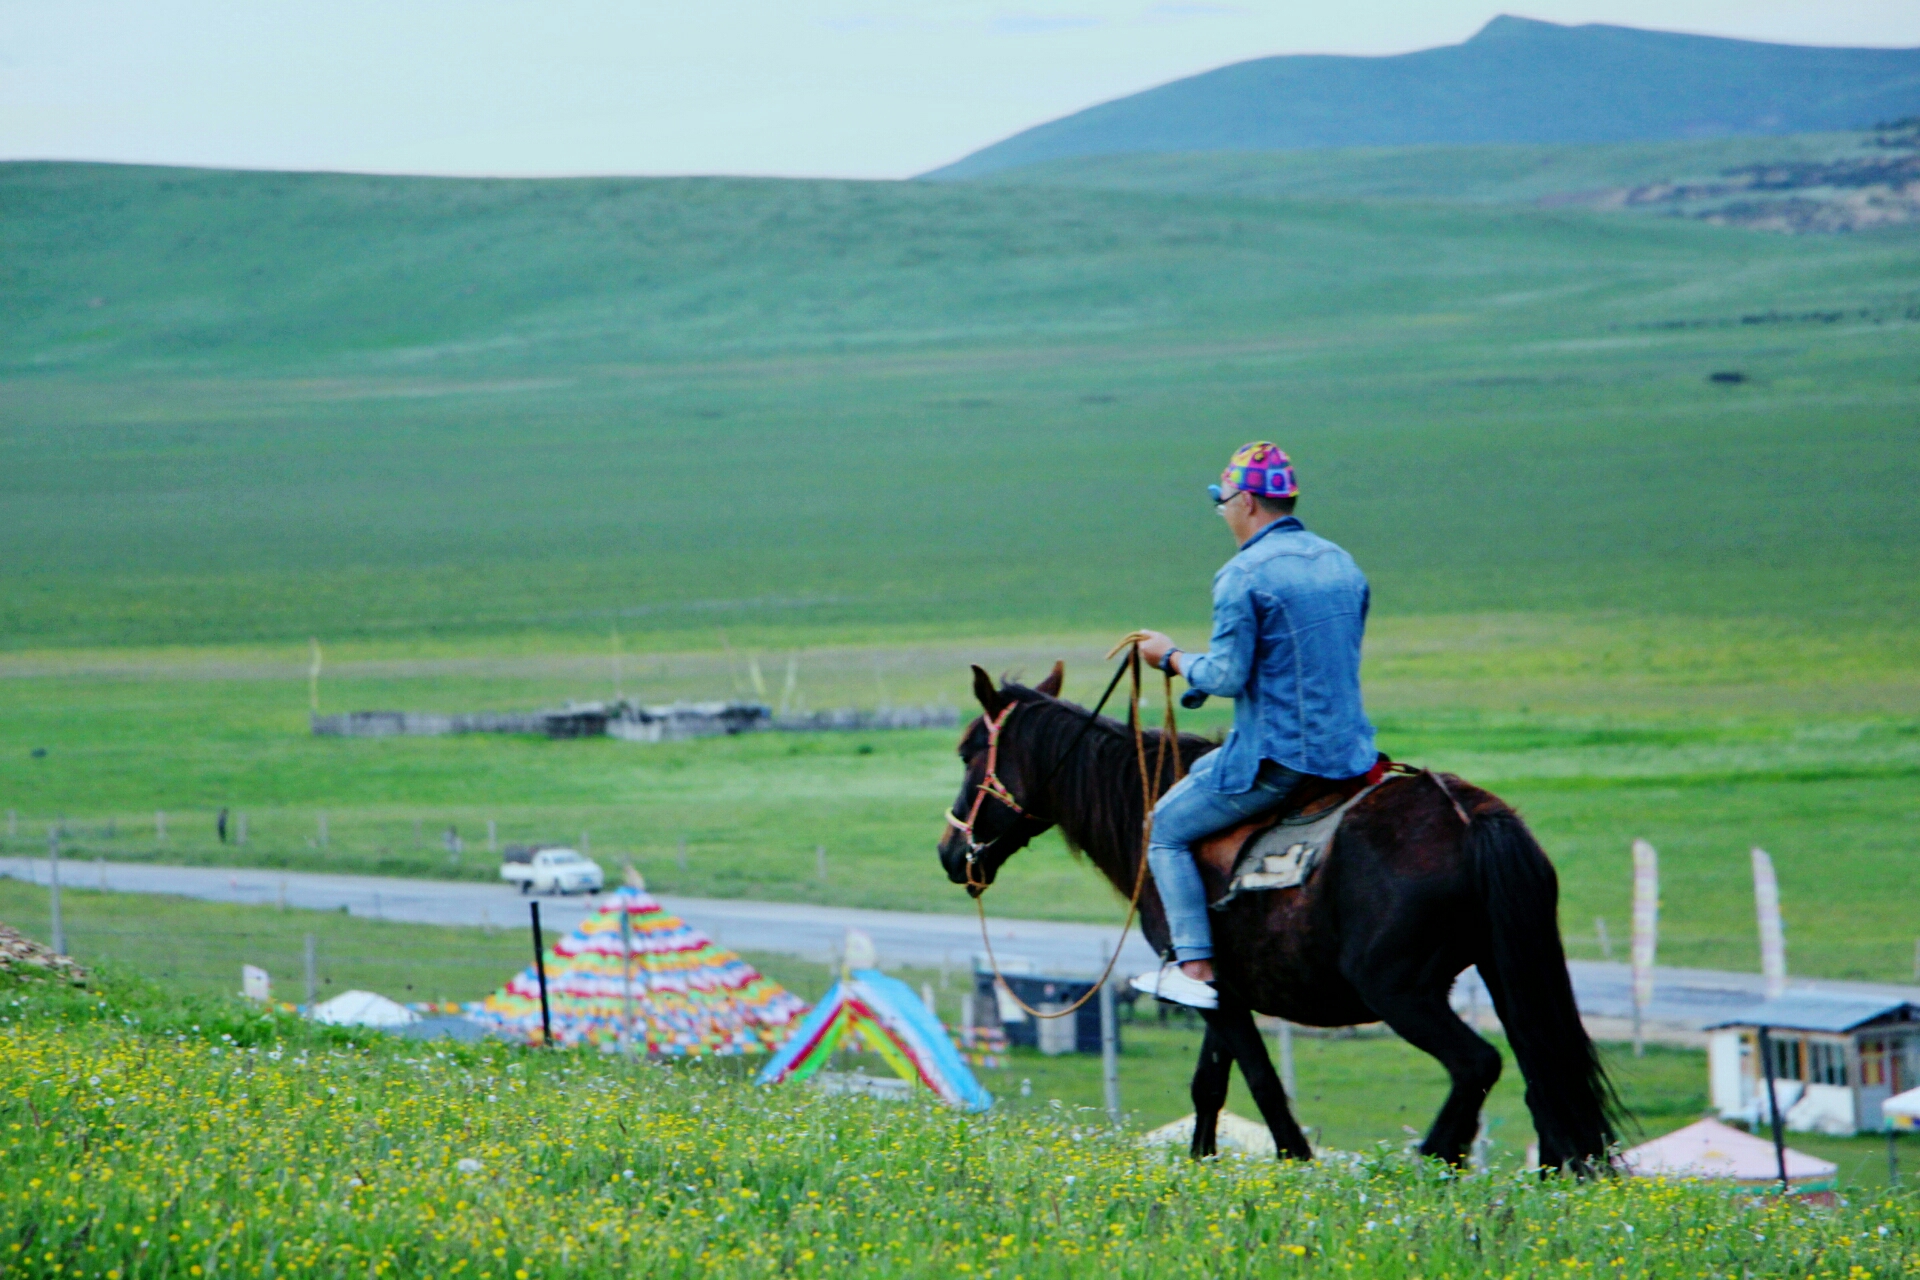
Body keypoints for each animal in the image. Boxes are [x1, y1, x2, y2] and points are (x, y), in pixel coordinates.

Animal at [933, 667, 1620, 1174]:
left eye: (969, 752)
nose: (949, 851)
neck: (1145, 810)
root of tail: (1473, 818)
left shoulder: (1222, 994)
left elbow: (1262, 1082)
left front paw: (1295, 1163)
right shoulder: (1219, 986)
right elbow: (1209, 1084)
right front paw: (1203, 1162)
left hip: (1400, 991)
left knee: (1478, 1065)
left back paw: (1427, 1164)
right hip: (1507, 973)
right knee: (1543, 1075)